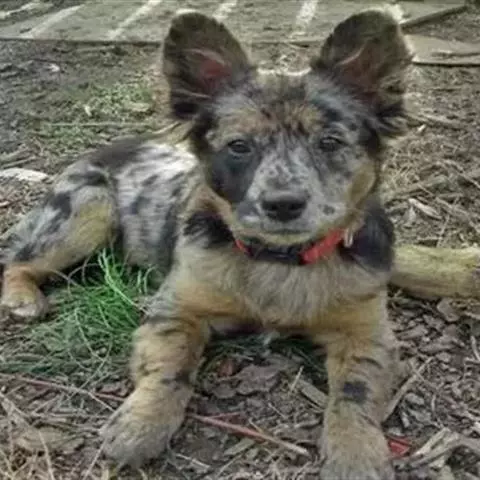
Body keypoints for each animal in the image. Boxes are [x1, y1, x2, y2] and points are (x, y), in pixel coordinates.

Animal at [0, 9, 416, 479]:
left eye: (329, 142)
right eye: (239, 146)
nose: (283, 204)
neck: (279, 259)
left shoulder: (367, 332)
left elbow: (355, 391)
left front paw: (356, 451)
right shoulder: (177, 308)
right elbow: (171, 365)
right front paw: (142, 423)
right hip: (87, 211)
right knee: (18, 260)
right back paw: (22, 297)